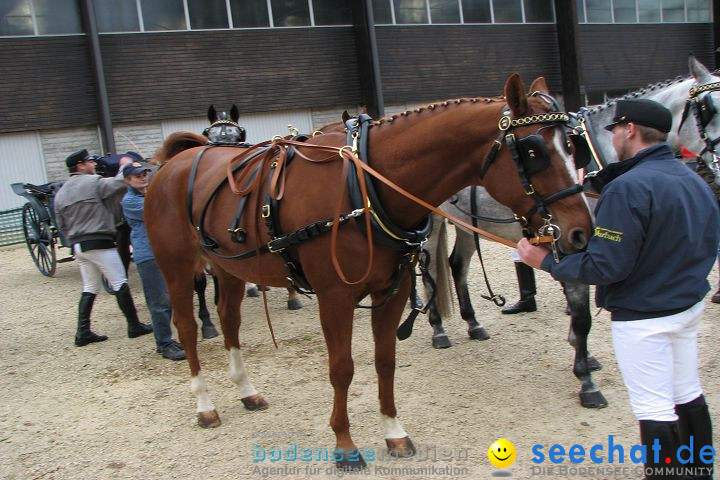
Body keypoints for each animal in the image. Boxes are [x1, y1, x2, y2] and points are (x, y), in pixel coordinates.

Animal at [145, 75, 592, 468]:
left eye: (573, 145)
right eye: (533, 151)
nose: (580, 231)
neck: (366, 186)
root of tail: (177, 161)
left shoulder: (391, 292)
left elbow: (385, 361)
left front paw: (394, 432)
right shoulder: (335, 297)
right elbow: (342, 369)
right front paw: (345, 445)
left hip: (231, 269)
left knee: (230, 322)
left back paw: (246, 390)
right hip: (178, 269)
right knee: (188, 328)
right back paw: (205, 405)